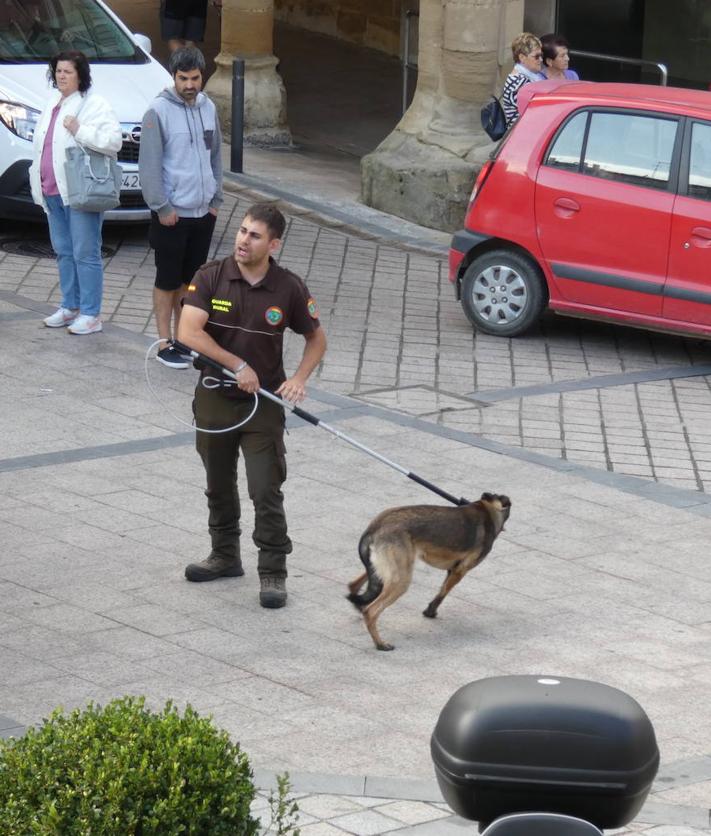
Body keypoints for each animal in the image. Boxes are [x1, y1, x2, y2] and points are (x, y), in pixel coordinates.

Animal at [346, 494, 508, 648]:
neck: (485, 509)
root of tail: (374, 527)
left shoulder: (452, 570)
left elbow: (441, 590)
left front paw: (430, 611)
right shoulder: (459, 572)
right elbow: (442, 593)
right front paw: (430, 612)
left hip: (383, 569)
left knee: (355, 586)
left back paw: (359, 607)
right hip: (401, 579)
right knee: (371, 611)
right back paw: (380, 644)